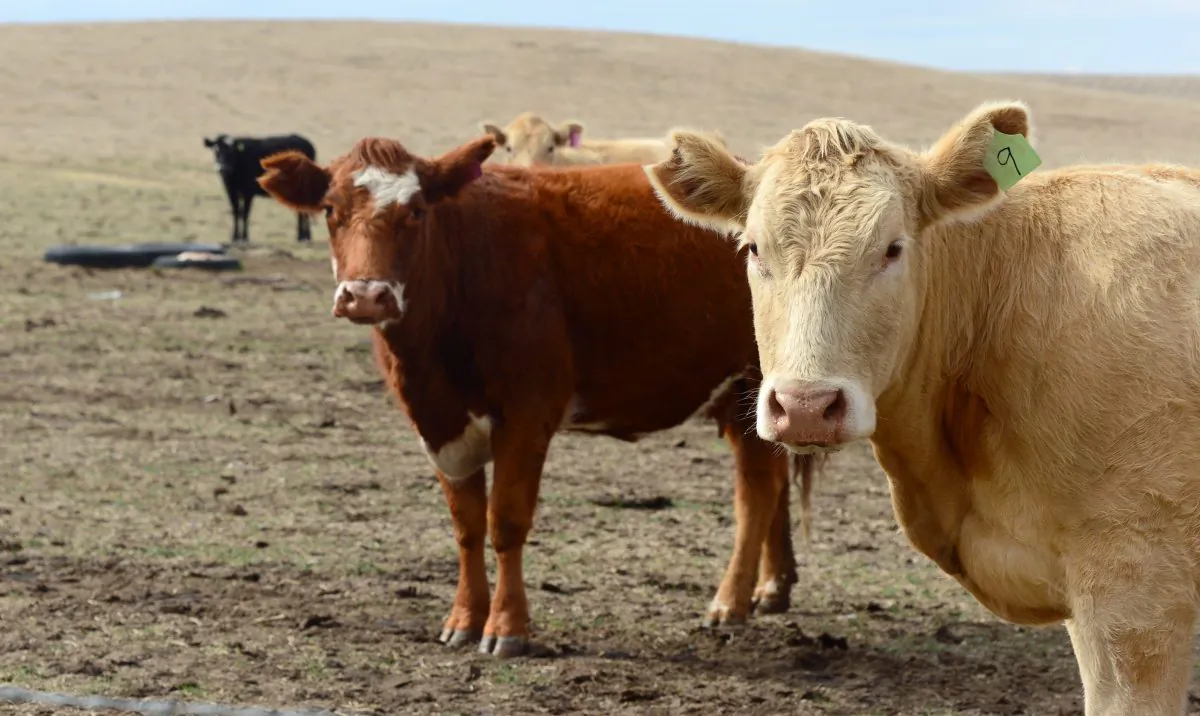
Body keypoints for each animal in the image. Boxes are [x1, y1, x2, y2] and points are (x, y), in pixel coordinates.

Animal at [255, 133, 822, 658]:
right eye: (330, 210)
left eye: (415, 210)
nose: (366, 296)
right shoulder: (438, 425)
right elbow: (466, 526)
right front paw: (464, 618)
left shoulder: (527, 415)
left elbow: (505, 521)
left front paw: (507, 628)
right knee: (770, 485)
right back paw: (769, 589)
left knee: (756, 493)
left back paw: (729, 602)